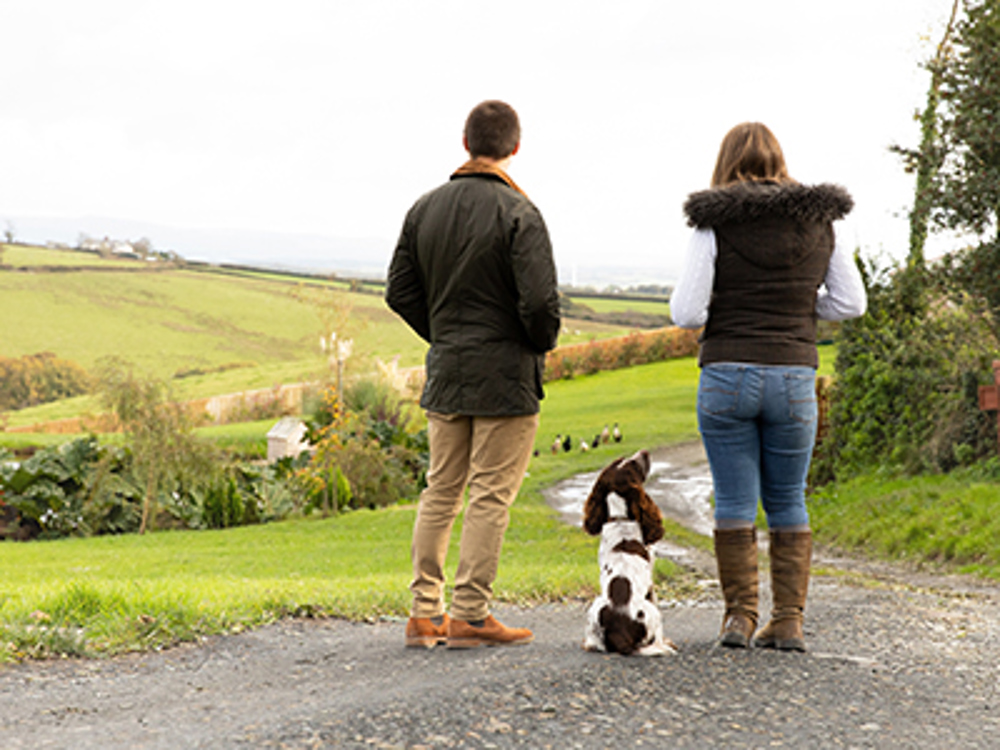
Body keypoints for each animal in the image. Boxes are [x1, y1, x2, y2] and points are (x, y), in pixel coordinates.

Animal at [584, 450, 676, 656]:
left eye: (619, 460)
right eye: (633, 465)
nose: (645, 452)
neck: (621, 518)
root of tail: (619, 634)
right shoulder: (651, 584)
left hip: (595, 606)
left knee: (595, 643)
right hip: (653, 612)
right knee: (655, 640)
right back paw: (666, 645)